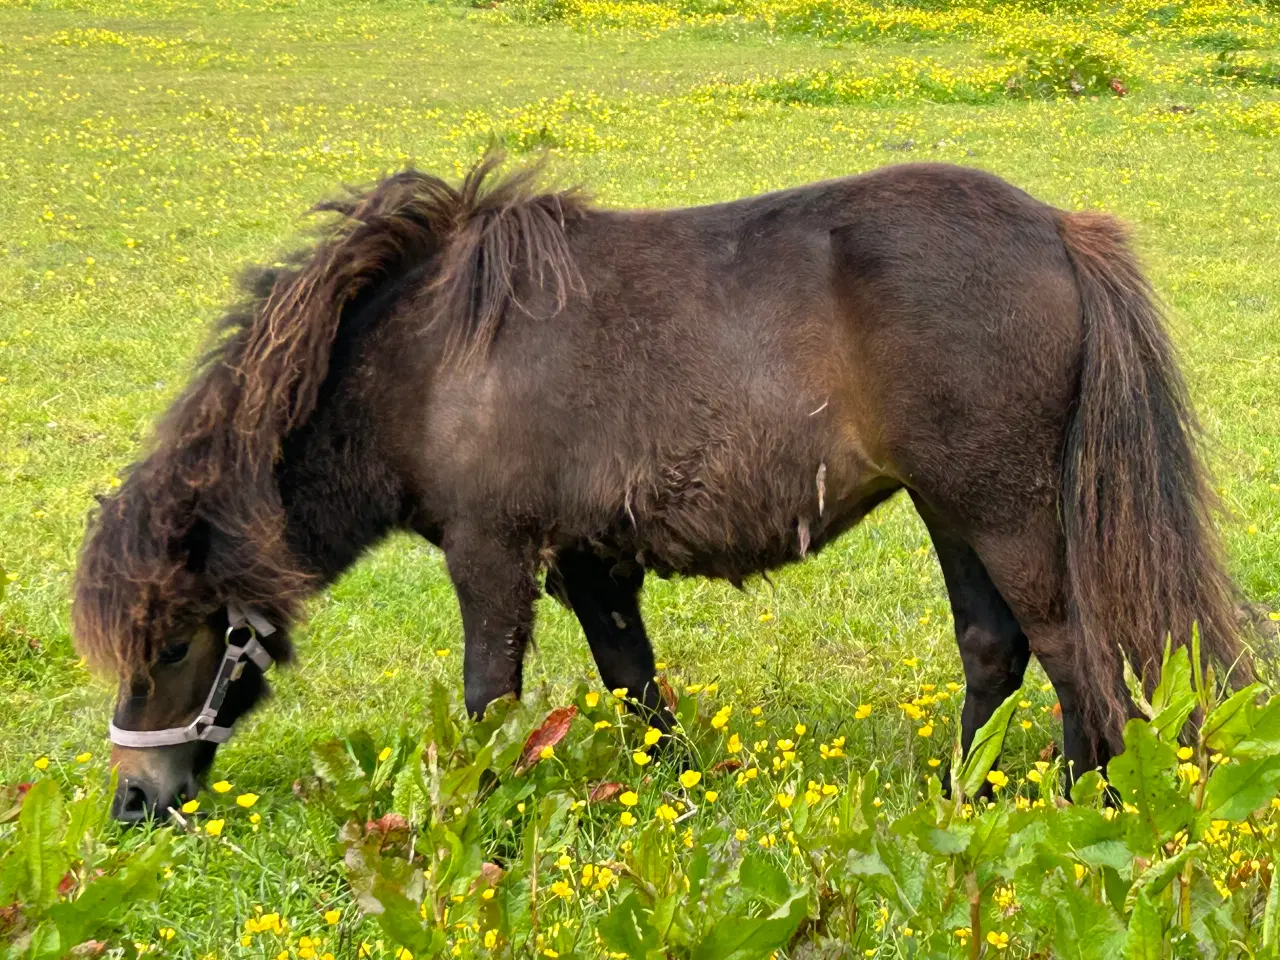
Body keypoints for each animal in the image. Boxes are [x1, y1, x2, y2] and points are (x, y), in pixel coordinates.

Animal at [74, 154, 1244, 824]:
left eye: (172, 644)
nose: (133, 800)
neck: (424, 359)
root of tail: (1056, 229)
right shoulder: (593, 563)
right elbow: (635, 685)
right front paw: (674, 799)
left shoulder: (491, 553)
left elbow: (487, 698)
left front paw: (479, 829)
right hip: (949, 505)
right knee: (996, 648)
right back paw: (967, 795)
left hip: (998, 508)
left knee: (1074, 655)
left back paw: (1077, 806)